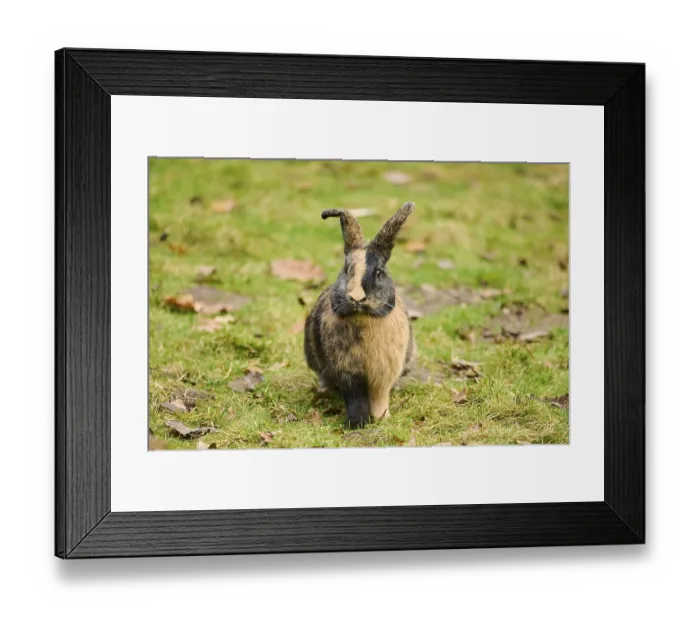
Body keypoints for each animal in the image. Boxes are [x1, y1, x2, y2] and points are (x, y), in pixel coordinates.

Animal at [304, 202, 416, 429]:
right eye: (347, 270)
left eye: (379, 272)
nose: (357, 298)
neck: (363, 319)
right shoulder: (348, 372)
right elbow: (355, 398)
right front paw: (356, 424)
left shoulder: (383, 374)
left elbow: (380, 397)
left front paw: (382, 418)